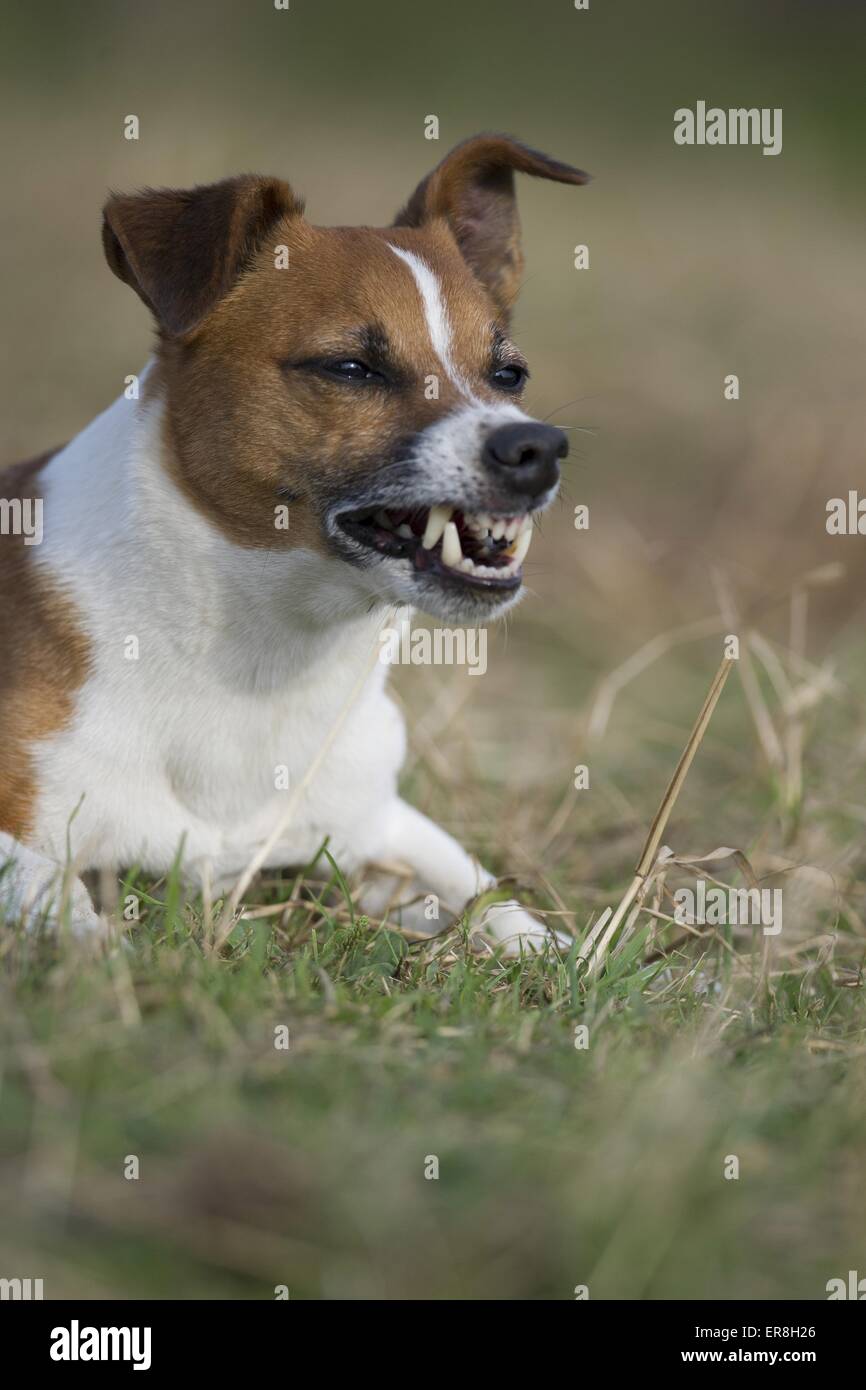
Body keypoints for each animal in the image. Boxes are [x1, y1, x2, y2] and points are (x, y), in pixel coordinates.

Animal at [0, 132, 589, 956]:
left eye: (509, 374)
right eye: (351, 368)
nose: (537, 449)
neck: (264, 664)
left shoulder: (378, 820)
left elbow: (489, 897)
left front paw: (566, 953)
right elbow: (62, 906)